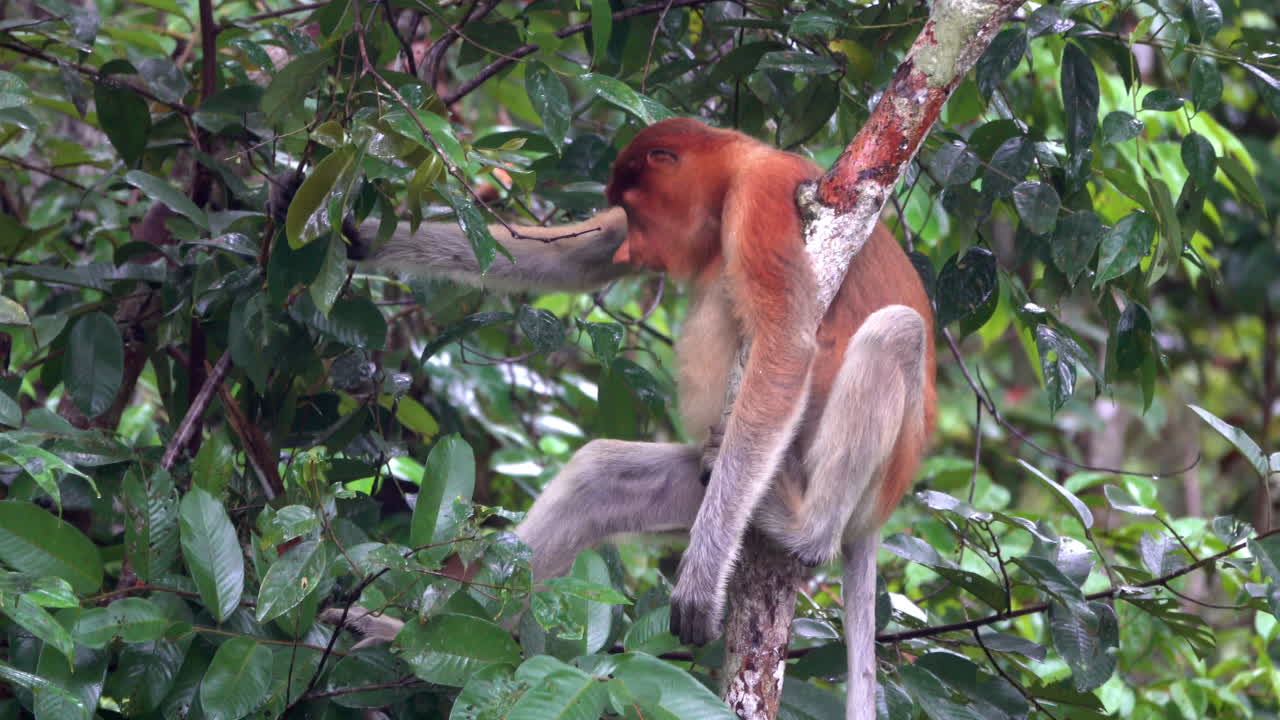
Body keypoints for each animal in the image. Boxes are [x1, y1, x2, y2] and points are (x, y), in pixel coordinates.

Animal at [311, 117, 934, 719]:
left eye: (637, 206)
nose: (632, 246)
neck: (735, 167)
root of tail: (877, 516)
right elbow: (572, 257)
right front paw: (351, 234)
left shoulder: (760, 198)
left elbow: (785, 347)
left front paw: (700, 581)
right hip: (701, 486)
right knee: (598, 477)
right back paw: (410, 643)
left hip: (841, 479)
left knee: (897, 332)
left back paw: (805, 531)